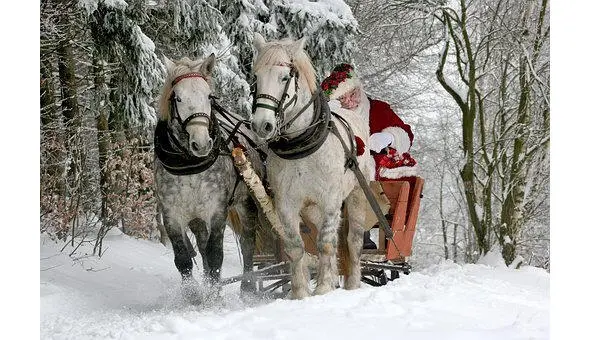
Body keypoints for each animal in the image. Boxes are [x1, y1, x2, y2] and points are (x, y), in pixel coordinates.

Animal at [154, 53, 262, 298]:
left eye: (209, 96)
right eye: (178, 98)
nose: (202, 143)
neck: (190, 165)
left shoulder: (217, 210)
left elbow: (215, 255)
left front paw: (214, 297)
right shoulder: (171, 214)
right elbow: (183, 258)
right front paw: (194, 296)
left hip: (246, 202)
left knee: (247, 242)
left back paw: (247, 287)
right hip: (196, 217)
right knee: (202, 247)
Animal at [251, 33, 372, 298]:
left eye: (284, 77)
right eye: (256, 78)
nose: (261, 125)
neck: (301, 147)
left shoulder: (330, 200)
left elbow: (325, 244)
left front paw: (324, 288)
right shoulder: (286, 204)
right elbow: (296, 247)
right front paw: (300, 293)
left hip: (358, 195)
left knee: (353, 241)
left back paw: (352, 284)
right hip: (312, 210)